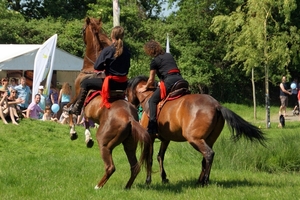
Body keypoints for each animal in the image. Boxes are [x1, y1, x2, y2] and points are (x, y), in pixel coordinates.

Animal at [69, 17, 151, 189]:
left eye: (82, 30)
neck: (91, 68)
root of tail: (130, 119)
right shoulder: (87, 110)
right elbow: (85, 120)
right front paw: (87, 138)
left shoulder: (76, 96)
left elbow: (71, 111)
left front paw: (73, 133)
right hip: (129, 144)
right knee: (134, 166)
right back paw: (126, 187)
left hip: (105, 144)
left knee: (110, 167)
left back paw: (98, 186)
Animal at [125, 76, 266, 187]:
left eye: (126, 92)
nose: (130, 104)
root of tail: (217, 105)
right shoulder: (166, 139)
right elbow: (160, 156)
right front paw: (164, 178)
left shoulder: (150, 136)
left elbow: (149, 158)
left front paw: (148, 180)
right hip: (208, 139)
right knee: (205, 158)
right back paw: (200, 181)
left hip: (194, 139)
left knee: (209, 154)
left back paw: (205, 181)